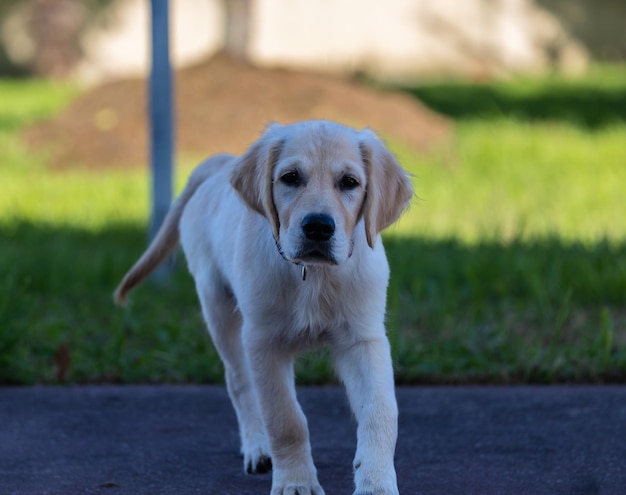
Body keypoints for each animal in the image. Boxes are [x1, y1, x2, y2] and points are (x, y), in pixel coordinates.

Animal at [114, 121, 412, 495]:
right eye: (290, 178)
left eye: (349, 182)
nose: (318, 227)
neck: (311, 275)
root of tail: (220, 165)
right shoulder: (263, 342)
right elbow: (286, 419)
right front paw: (296, 482)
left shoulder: (364, 339)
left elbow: (381, 410)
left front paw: (375, 481)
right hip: (219, 309)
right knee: (240, 384)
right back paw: (257, 447)